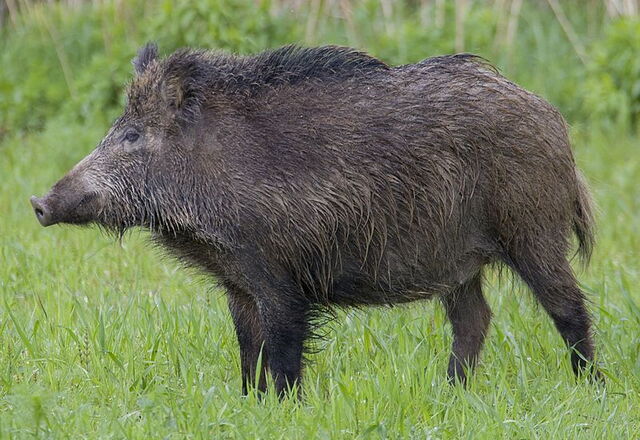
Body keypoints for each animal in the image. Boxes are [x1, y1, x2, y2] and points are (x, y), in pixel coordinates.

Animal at [31, 43, 601, 396]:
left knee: (567, 306)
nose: (38, 203)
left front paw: (286, 409)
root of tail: (552, 117)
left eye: (132, 136)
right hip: (458, 260)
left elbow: (282, 352)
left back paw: (590, 386)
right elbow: (248, 350)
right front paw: (249, 405)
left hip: (532, 229)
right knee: (474, 320)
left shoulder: (280, 277)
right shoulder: (239, 282)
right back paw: (450, 393)